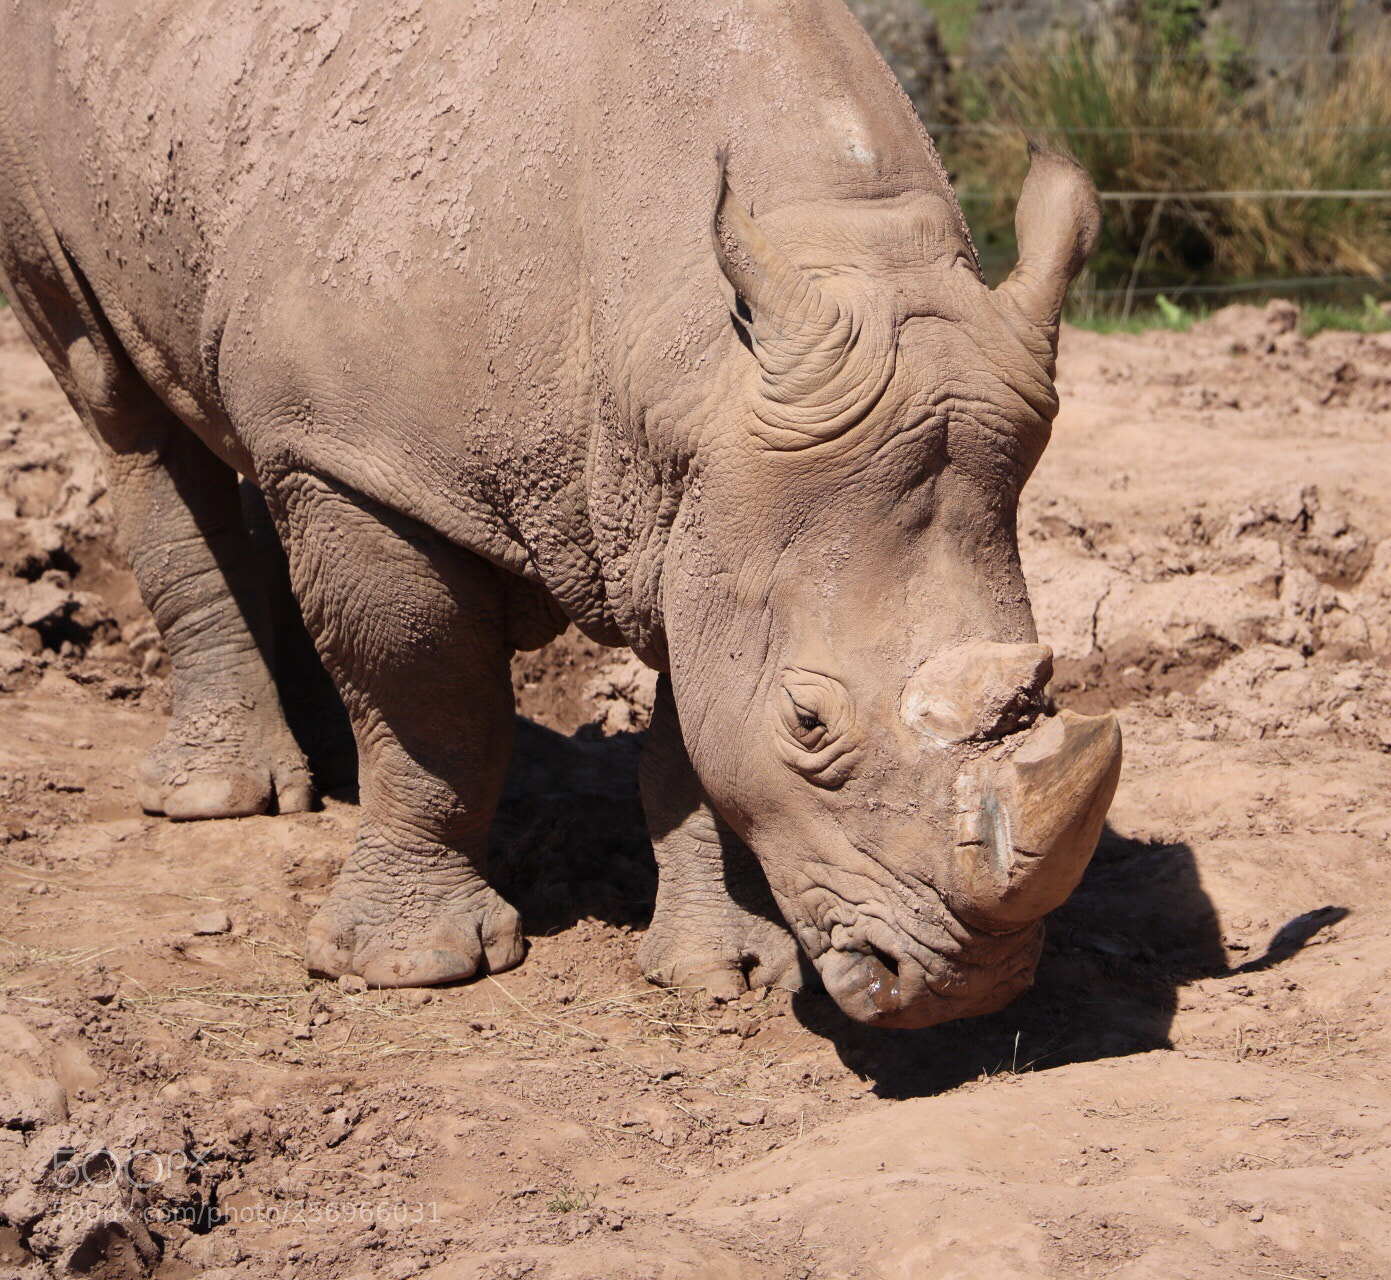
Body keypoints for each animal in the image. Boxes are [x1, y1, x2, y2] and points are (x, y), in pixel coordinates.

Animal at [0, 0, 1120, 1028]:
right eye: (808, 723)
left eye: (1047, 682)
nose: (964, 989)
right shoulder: (362, 460)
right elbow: (431, 701)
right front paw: (413, 966)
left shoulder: (708, 499)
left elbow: (693, 734)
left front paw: (726, 975)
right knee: (115, 395)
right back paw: (218, 800)